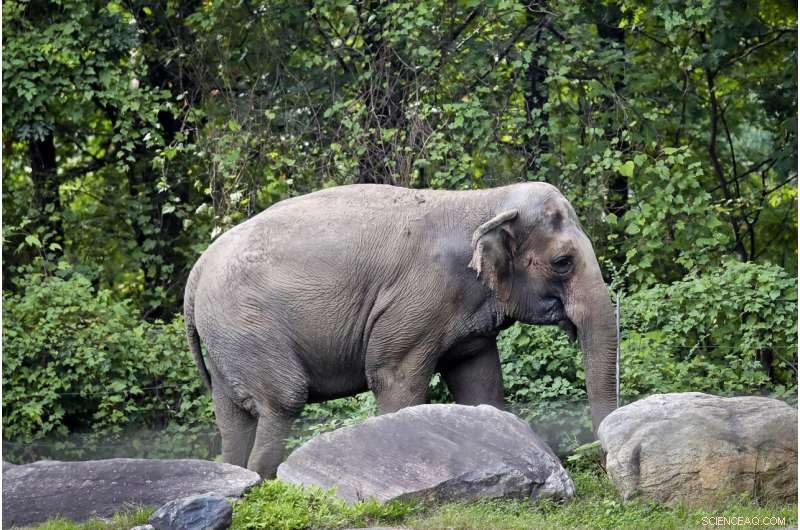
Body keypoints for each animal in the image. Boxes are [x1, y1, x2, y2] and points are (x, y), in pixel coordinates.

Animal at [184, 182, 618, 478]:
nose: (601, 461)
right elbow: (395, 379)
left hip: (227, 341)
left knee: (232, 417)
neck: (485, 200)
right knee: (282, 401)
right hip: (248, 327)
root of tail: (197, 271)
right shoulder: (416, 302)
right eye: (562, 262)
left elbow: (480, 384)